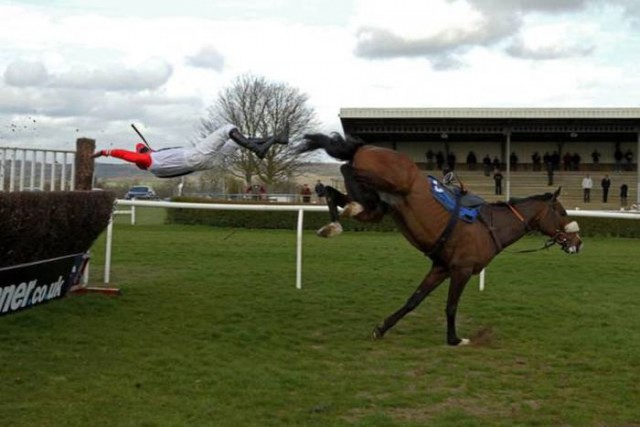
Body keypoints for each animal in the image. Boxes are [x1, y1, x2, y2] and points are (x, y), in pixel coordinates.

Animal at [298, 134, 584, 348]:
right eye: (562, 212)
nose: (578, 241)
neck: (491, 227)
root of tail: (366, 145)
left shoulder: (441, 268)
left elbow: (414, 300)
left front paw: (382, 328)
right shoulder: (461, 270)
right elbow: (451, 306)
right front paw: (454, 339)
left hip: (377, 207)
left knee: (342, 194)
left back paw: (334, 218)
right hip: (389, 183)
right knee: (346, 169)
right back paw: (334, 205)